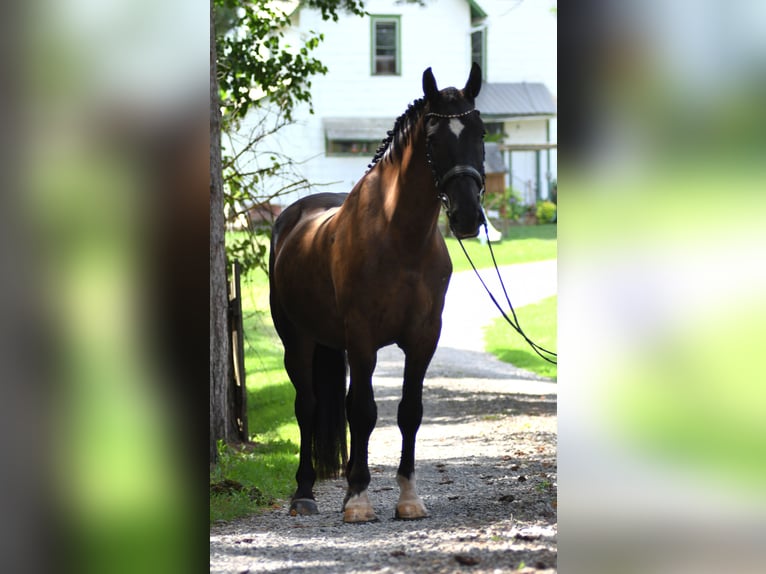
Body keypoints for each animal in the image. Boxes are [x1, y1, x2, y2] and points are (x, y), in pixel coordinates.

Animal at [270, 64, 486, 528]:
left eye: (480, 132)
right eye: (433, 138)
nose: (467, 217)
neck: (400, 238)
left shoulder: (423, 339)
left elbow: (409, 413)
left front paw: (407, 499)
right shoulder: (364, 337)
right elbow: (365, 412)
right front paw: (358, 500)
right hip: (299, 341)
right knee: (308, 406)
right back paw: (305, 493)